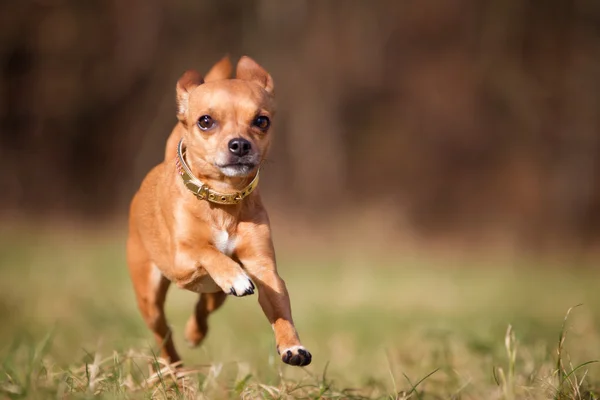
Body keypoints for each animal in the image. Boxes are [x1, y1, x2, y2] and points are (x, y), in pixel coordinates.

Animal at [127, 56, 314, 368]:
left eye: (261, 121)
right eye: (205, 121)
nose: (239, 144)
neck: (222, 199)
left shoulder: (265, 270)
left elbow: (280, 309)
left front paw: (292, 346)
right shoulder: (181, 260)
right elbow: (208, 251)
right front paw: (233, 275)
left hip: (215, 295)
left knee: (205, 305)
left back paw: (195, 332)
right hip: (150, 297)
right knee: (163, 335)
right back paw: (175, 369)